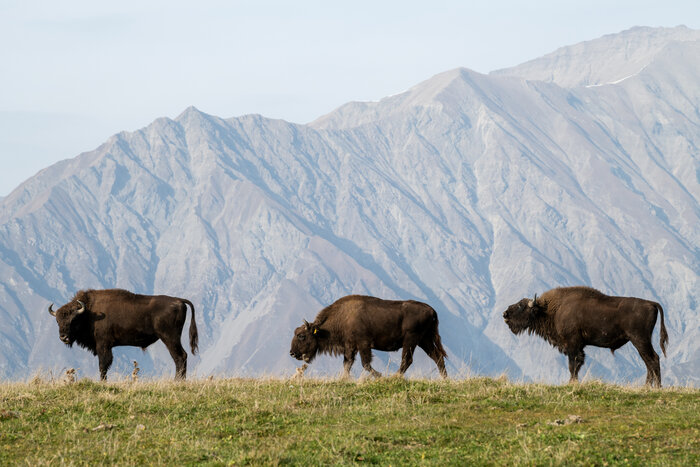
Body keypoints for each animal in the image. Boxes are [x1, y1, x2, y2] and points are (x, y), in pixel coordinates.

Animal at [49, 288, 198, 380]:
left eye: (73, 320)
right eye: (57, 321)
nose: (63, 337)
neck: (89, 312)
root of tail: (179, 300)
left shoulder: (103, 345)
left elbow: (103, 365)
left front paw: (103, 382)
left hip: (169, 338)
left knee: (180, 357)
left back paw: (177, 381)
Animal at [288, 296, 448, 380]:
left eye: (301, 336)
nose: (292, 353)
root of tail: (432, 310)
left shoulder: (363, 344)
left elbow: (365, 363)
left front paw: (381, 376)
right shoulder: (350, 347)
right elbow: (347, 363)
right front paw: (344, 379)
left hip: (411, 340)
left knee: (407, 360)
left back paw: (394, 377)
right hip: (424, 340)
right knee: (437, 356)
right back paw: (444, 379)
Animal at [504, 288, 668, 390]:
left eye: (520, 306)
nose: (505, 314)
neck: (551, 309)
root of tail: (651, 303)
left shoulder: (572, 345)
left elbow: (573, 365)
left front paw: (571, 383)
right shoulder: (578, 347)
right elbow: (577, 364)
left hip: (640, 340)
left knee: (653, 359)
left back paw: (657, 387)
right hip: (640, 342)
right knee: (648, 362)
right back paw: (647, 386)